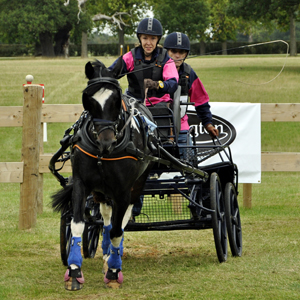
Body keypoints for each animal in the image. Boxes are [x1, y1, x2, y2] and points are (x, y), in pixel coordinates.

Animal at [51, 57, 155, 290]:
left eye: (116, 99)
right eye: (88, 100)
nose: (105, 142)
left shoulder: (124, 190)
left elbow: (118, 229)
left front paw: (114, 272)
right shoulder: (82, 183)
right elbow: (78, 224)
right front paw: (74, 271)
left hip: (136, 185)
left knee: (121, 220)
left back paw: (114, 258)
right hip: (101, 190)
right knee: (106, 217)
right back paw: (107, 253)